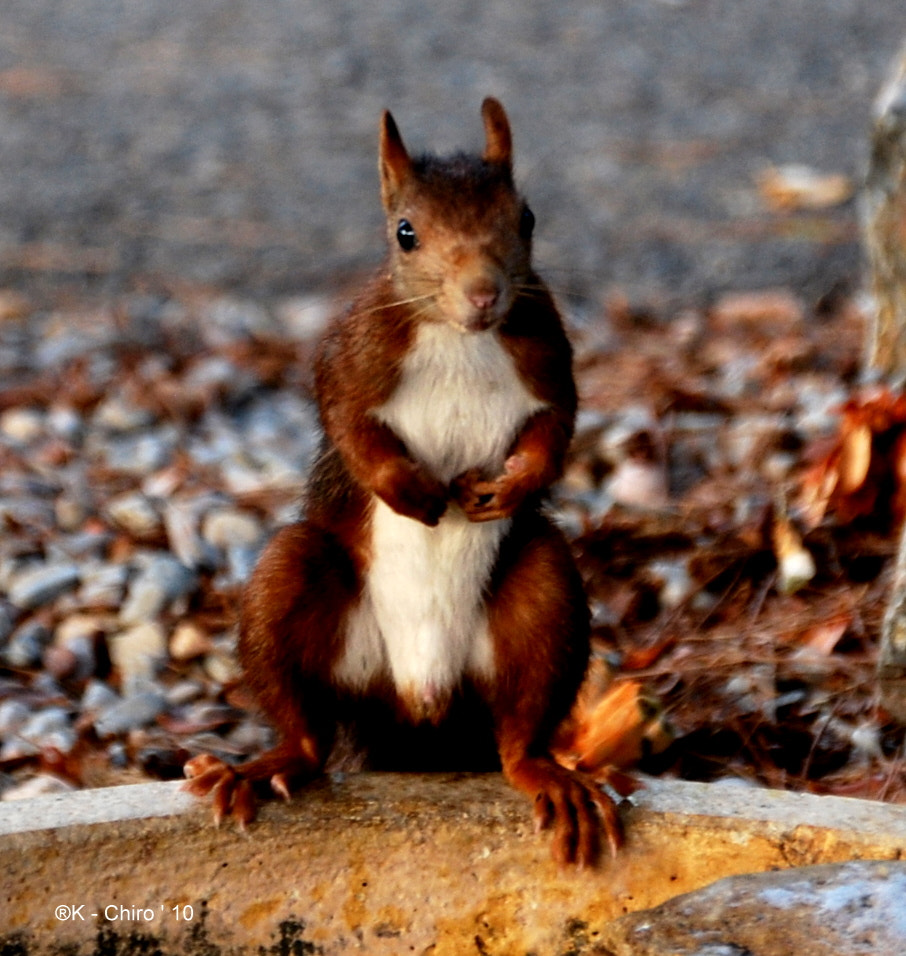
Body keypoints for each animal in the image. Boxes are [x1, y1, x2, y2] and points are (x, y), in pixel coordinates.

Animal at [184, 97, 631, 866]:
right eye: (406, 232)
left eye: (527, 217)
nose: (484, 294)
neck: (459, 338)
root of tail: (421, 700)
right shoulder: (351, 353)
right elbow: (349, 425)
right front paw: (409, 489)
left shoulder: (547, 355)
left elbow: (556, 430)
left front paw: (511, 487)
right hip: (295, 588)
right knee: (304, 722)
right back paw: (266, 766)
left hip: (544, 598)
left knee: (521, 727)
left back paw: (548, 776)